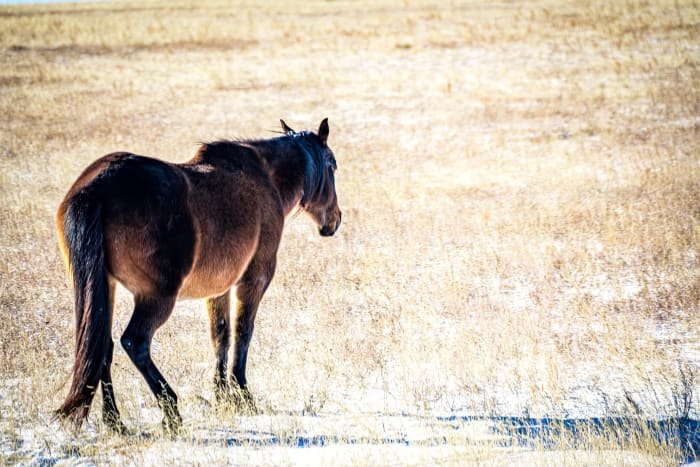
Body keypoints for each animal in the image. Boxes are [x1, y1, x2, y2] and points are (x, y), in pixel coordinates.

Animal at [55, 119, 341, 433]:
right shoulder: (254, 279)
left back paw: (115, 421)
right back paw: (170, 411)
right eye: (333, 165)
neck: (266, 176)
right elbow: (243, 331)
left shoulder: (218, 288)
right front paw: (243, 395)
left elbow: (220, 335)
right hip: (156, 297)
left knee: (103, 348)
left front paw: (222, 395)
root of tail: (95, 190)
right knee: (135, 342)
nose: (335, 220)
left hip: (105, 289)